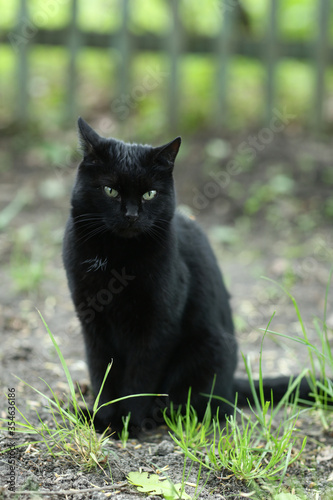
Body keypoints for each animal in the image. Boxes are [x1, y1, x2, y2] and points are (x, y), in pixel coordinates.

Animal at [63, 118, 310, 434]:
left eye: (149, 194)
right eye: (110, 191)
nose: (131, 215)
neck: (116, 258)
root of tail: (231, 384)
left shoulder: (157, 326)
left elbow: (139, 379)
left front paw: (127, 423)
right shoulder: (92, 323)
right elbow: (101, 373)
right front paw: (103, 419)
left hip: (210, 349)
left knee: (214, 407)